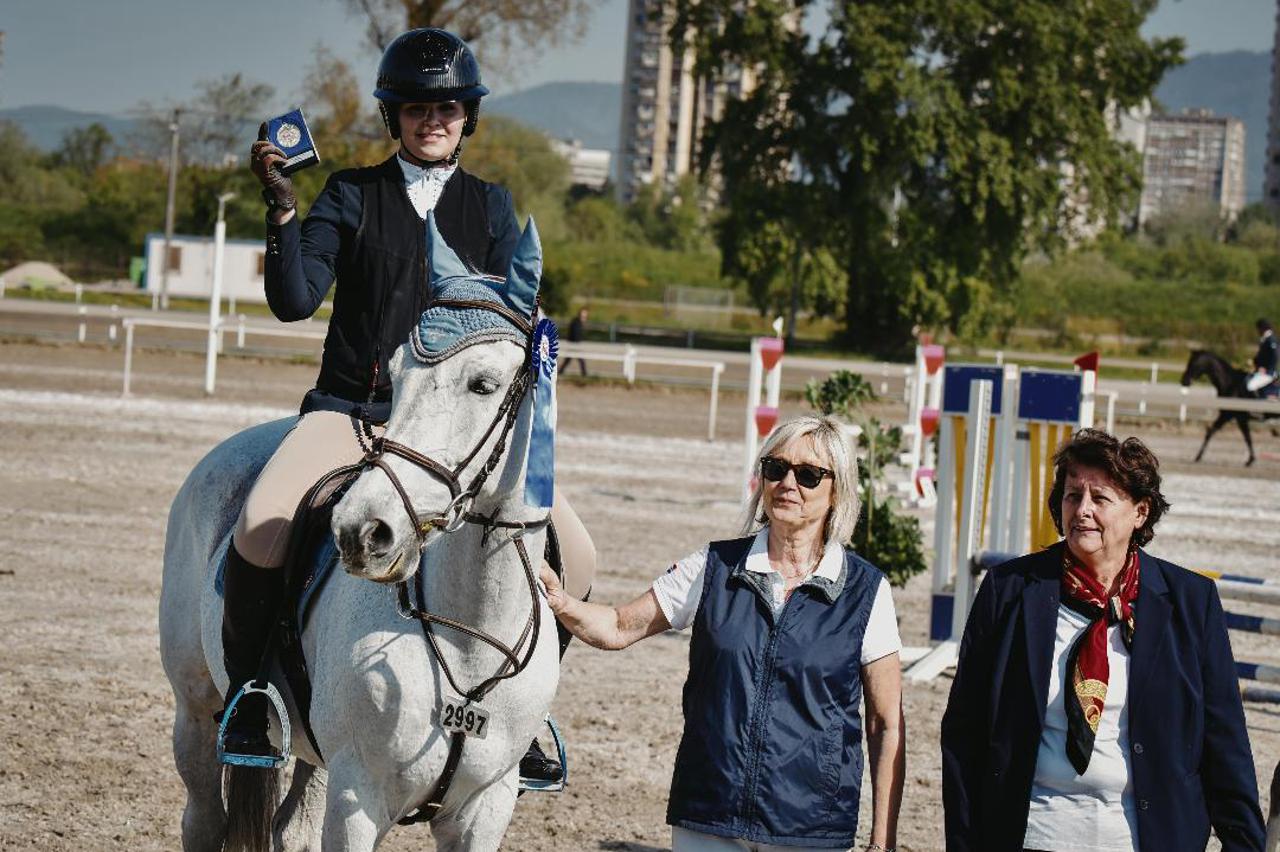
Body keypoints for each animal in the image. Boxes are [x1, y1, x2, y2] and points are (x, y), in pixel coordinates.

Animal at [159, 216, 560, 851]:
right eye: (395, 374)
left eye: (482, 384)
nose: (362, 531)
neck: (467, 639)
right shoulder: (359, 799)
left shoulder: (485, 808)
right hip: (197, 712)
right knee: (204, 818)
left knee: (289, 830)